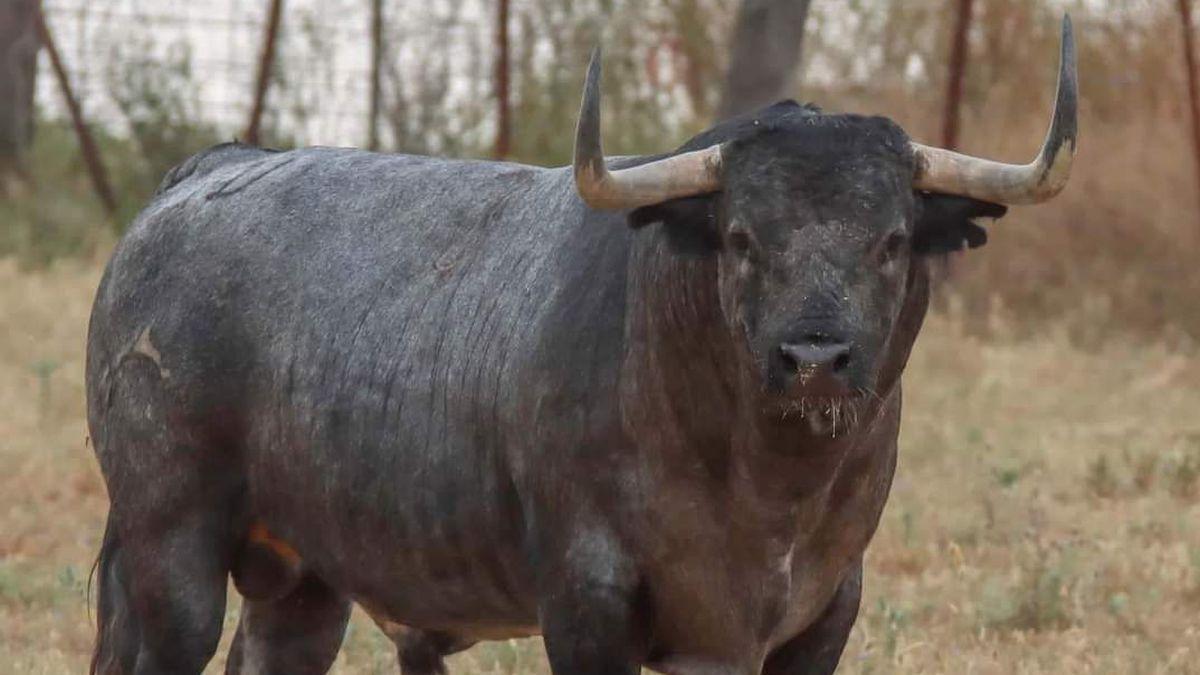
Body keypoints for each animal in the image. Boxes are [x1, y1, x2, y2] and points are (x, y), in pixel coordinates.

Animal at [84, 17, 1080, 672]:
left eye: (892, 240)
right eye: (742, 236)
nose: (815, 360)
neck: (765, 486)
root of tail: (208, 170)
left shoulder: (818, 615)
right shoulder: (587, 603)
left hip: (301, 587)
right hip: (169, 553)